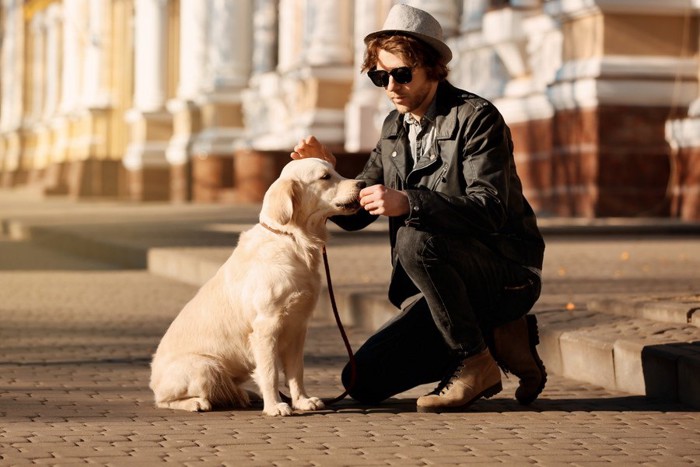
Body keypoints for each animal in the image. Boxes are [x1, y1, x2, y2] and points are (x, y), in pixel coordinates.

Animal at [150, 158, 364, 416]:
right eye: (325, 176)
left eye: (335, 170)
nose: (362, 184)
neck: (292, 239)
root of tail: (153, 380)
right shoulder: (267, 327)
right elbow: (270, 373)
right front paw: (274, 406)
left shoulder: (298, 326)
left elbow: (296, 370)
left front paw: (302, 400)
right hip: (205, 366)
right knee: (164, 400)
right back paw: (196, 402)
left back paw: (243, 395)